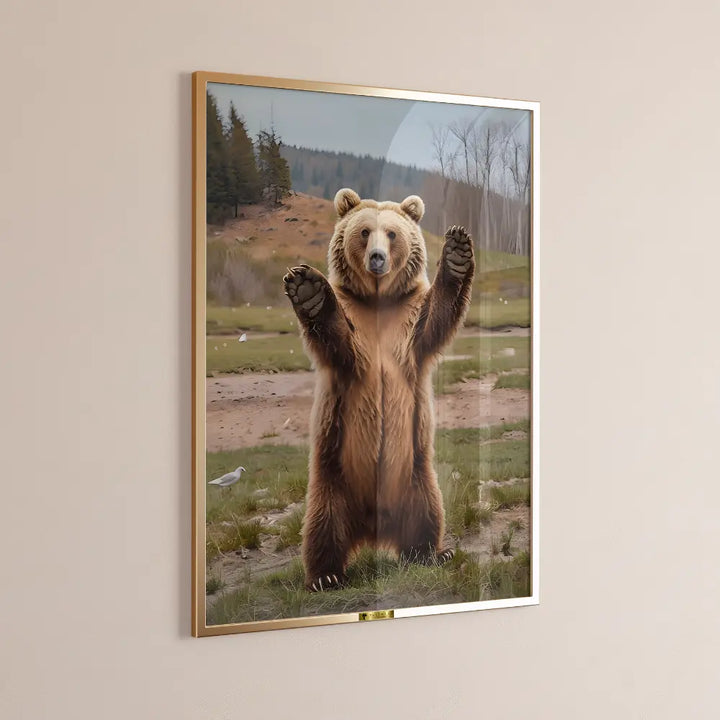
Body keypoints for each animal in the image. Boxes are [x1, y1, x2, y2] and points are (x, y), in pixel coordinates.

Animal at [283, 188, 474, 592]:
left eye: (392, 233)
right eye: (364, 231)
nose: (377, 258)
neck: (377, 301)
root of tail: (372, 527)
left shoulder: (407, 321)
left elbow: (437, 315)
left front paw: (457, 253)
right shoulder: (356, 329)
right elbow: (339, 342)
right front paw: (307, 288)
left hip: (415, 473)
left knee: (427, 512)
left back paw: (432, 553)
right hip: (333, 475)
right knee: (322, 524)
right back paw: (325, 576)